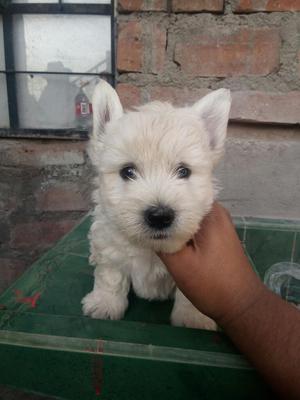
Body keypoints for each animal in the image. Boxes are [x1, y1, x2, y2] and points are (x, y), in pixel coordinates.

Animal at [82, 79, 232, 330]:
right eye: (127, 171)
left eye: (183, 171)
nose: (160, 216)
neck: (151, 249)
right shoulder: (109, 245)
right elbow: (110, 275)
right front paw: (105, 303)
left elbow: (190, 295)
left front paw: (192, 318)